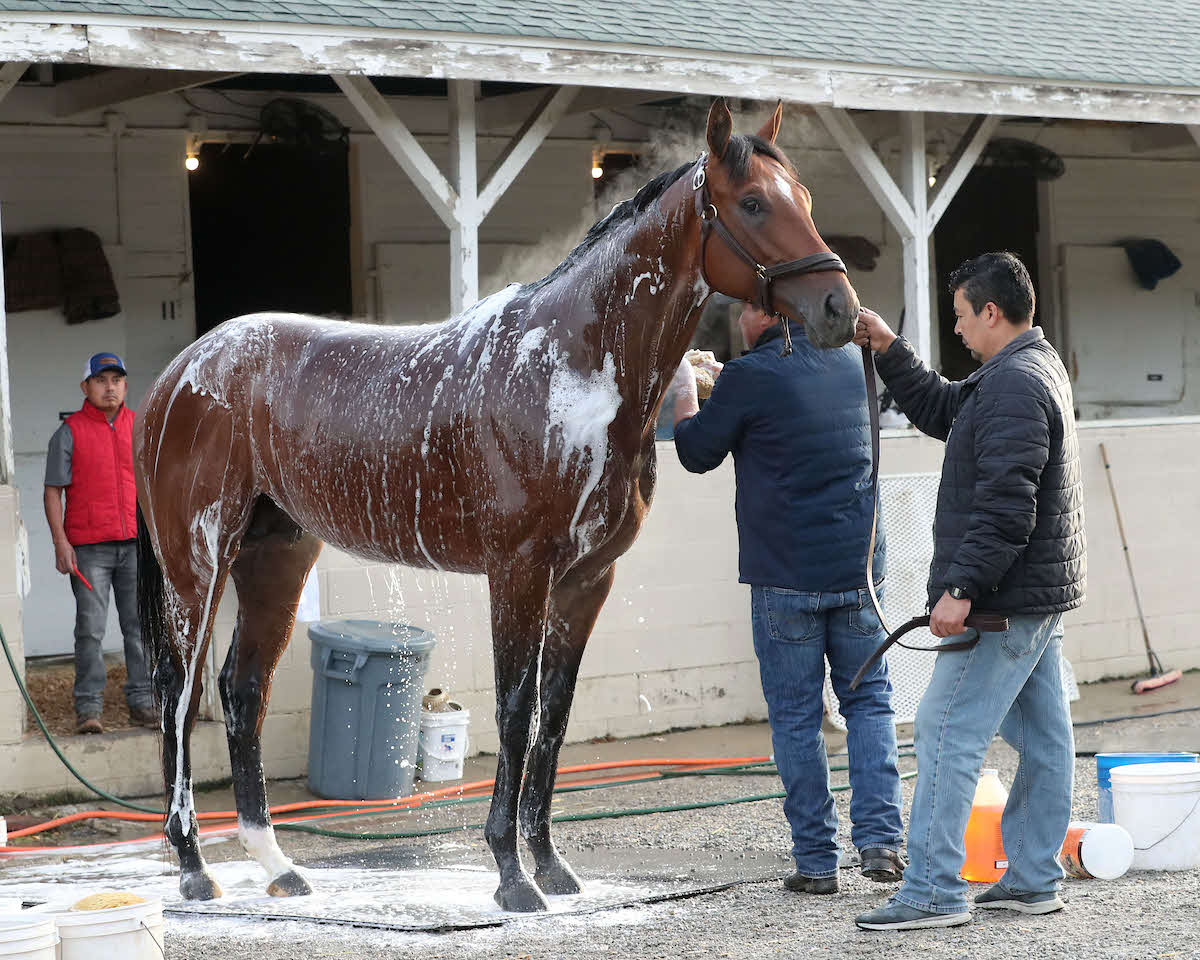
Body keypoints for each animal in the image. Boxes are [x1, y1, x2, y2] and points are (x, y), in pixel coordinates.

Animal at [134, 98, 862, 912]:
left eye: (803, 198)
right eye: (755, 203)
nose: (839, 309)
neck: (571, 365)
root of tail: (179, 373)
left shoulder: (586, 580)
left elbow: (555, 715)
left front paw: (551, 865)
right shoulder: (518, 572)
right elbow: (514, 711)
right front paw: (512, 877)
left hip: (276, 557)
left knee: (242, 690)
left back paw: (277, 865)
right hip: (198, 565)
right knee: (180, 696)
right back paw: (193, 865)